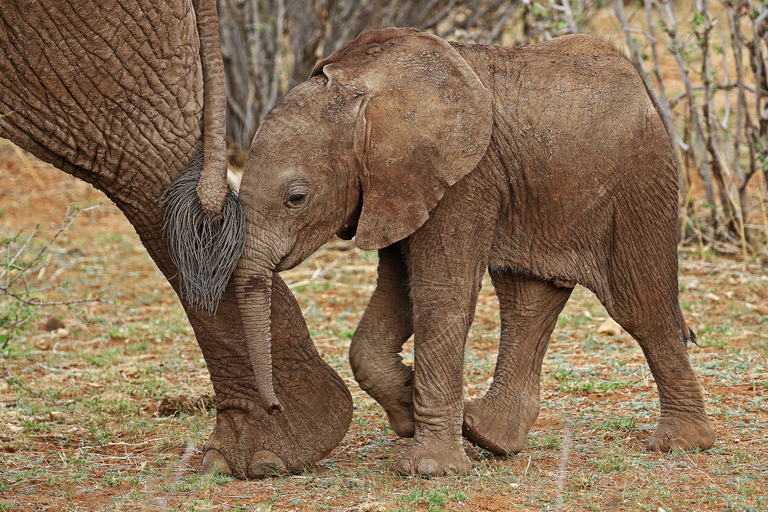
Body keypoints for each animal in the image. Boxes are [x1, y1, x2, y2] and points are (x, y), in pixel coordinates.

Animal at [232, 28, 712, 476]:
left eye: (296, 198)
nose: (274, 407)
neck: (366, 92)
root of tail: (640, 81)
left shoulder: (464, 178)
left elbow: (440, 292)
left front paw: (429, 468)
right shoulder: (397, 186)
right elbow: (398, 292)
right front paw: (408, 411)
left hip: (638, 180)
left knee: (640, 306)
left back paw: (682, 443)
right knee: (527, 299)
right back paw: (487, 433)